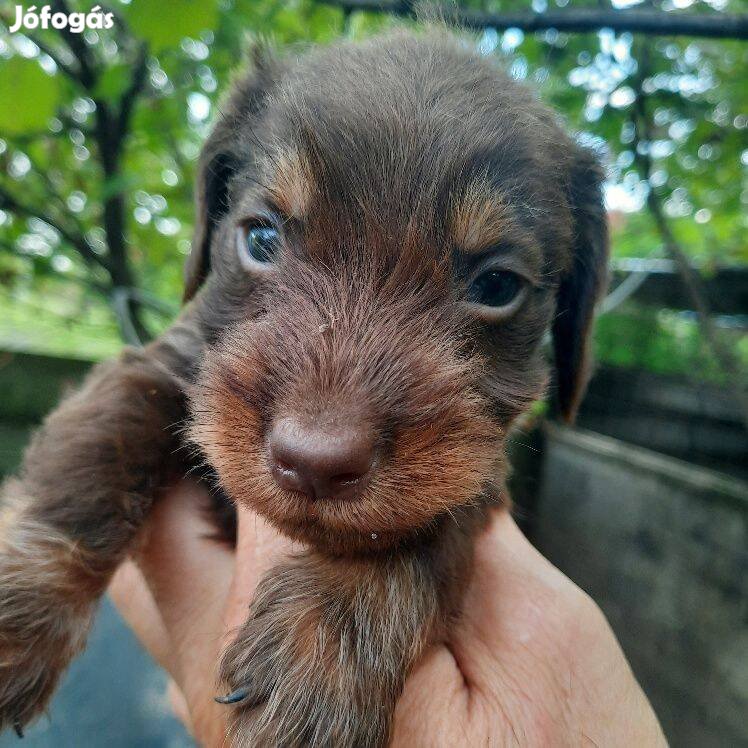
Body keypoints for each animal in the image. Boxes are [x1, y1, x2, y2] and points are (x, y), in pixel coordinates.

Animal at [0, 30, 608, 748]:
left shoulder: (476, 472)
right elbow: (98, 445)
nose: (314, 462)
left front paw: (318, 661)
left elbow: (412, 530)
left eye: (497, 285)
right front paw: (19, 619)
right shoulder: (165, 366)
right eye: (262, 236)